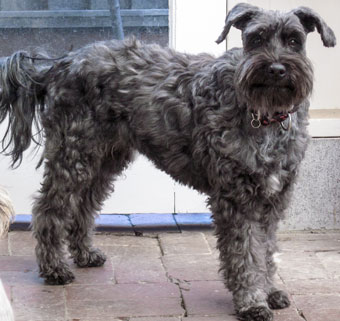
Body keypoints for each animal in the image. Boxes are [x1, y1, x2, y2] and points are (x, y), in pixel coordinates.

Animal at [0, 3, 336, 320]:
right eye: (256, 39)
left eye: (294, 40)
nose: (276, 69)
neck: (262, 116)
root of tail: (59, 64)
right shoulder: (236, 200)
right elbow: (246, 253)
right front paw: (252, 301)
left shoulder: (272, 201)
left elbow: (266, 251)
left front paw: (269, 291)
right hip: (73, 156)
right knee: (48, 210)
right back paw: (54, 268)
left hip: (104, 161)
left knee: (83, 206)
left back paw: (85, 254)